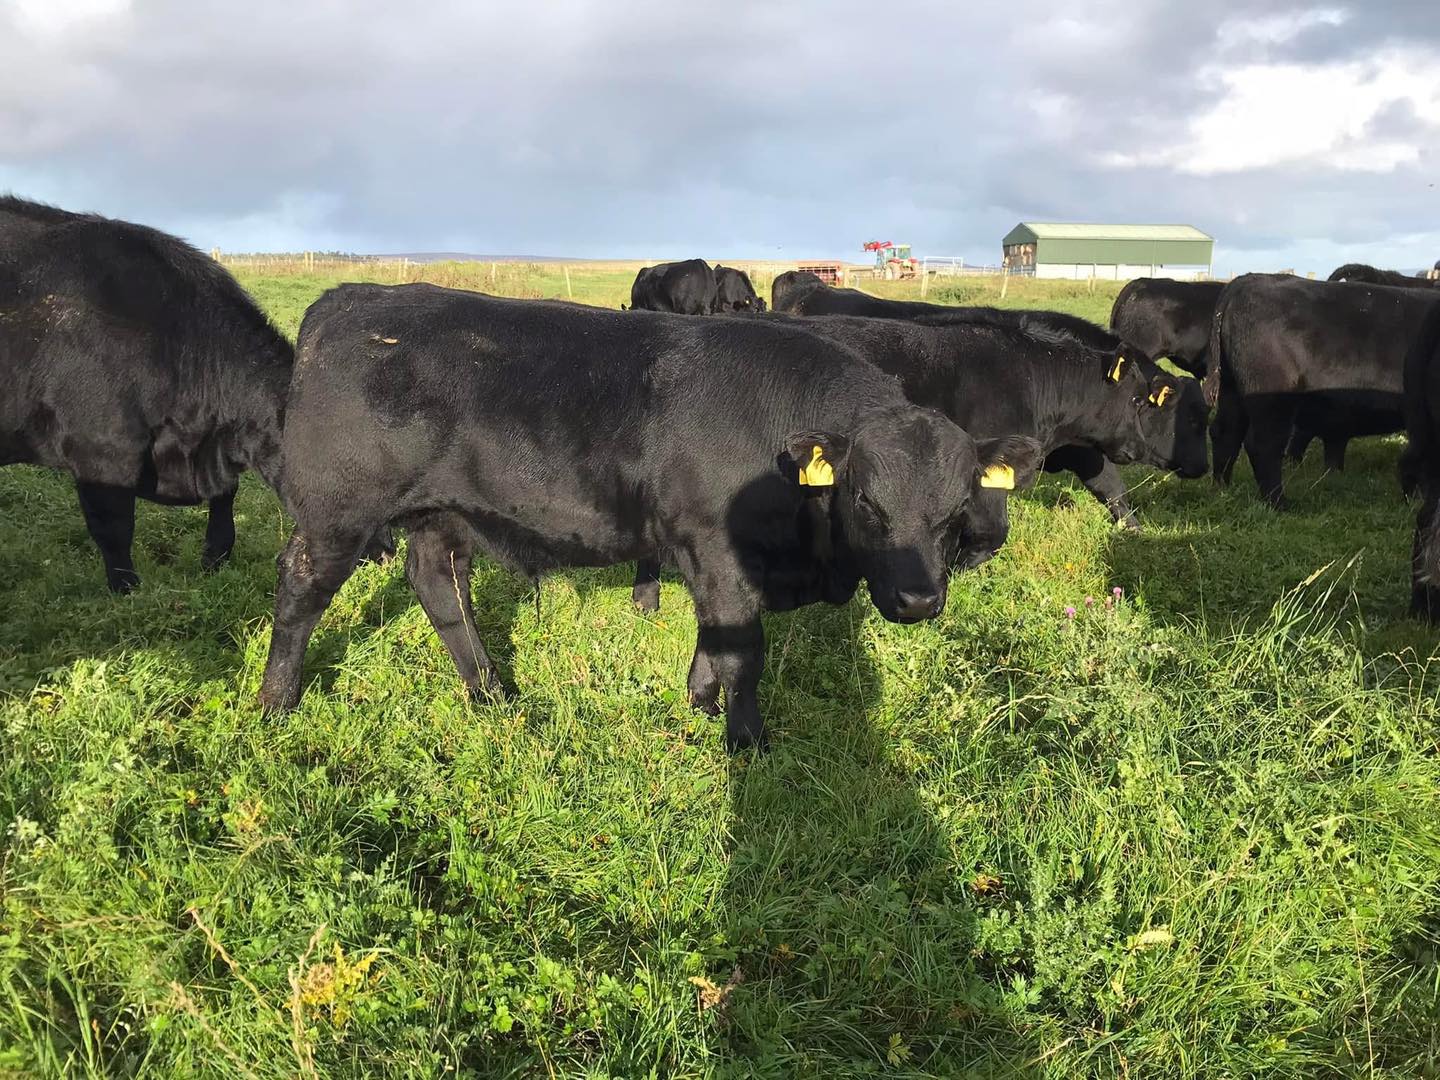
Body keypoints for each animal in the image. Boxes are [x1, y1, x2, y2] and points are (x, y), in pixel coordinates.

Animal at [259, 283, 1044, 752]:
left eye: (955, 512)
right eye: (866, 503)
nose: (918, 600)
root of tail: (352, 299)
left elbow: (714, 640)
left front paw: (699, 705)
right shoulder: (717, 549)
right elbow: (741, 650)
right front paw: (748, 744)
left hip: (440, 512)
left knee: (440, 587)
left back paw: (492, 694)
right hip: (338, 512)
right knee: (301, 587)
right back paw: (276, 701)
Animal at [630, 308, 1208, 610]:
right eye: (1144, 401)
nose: (1200, 469)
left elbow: (1109, 485)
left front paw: (1134, 530)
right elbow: (994, 533)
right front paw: (958, 564)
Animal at [1204, 273, 1440, 508]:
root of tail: (1250, 280)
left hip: (1232, 390)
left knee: (1225, 432)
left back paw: (1222, 488)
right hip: (1272, 398)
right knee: (1263, 444)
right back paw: (1279, 502)